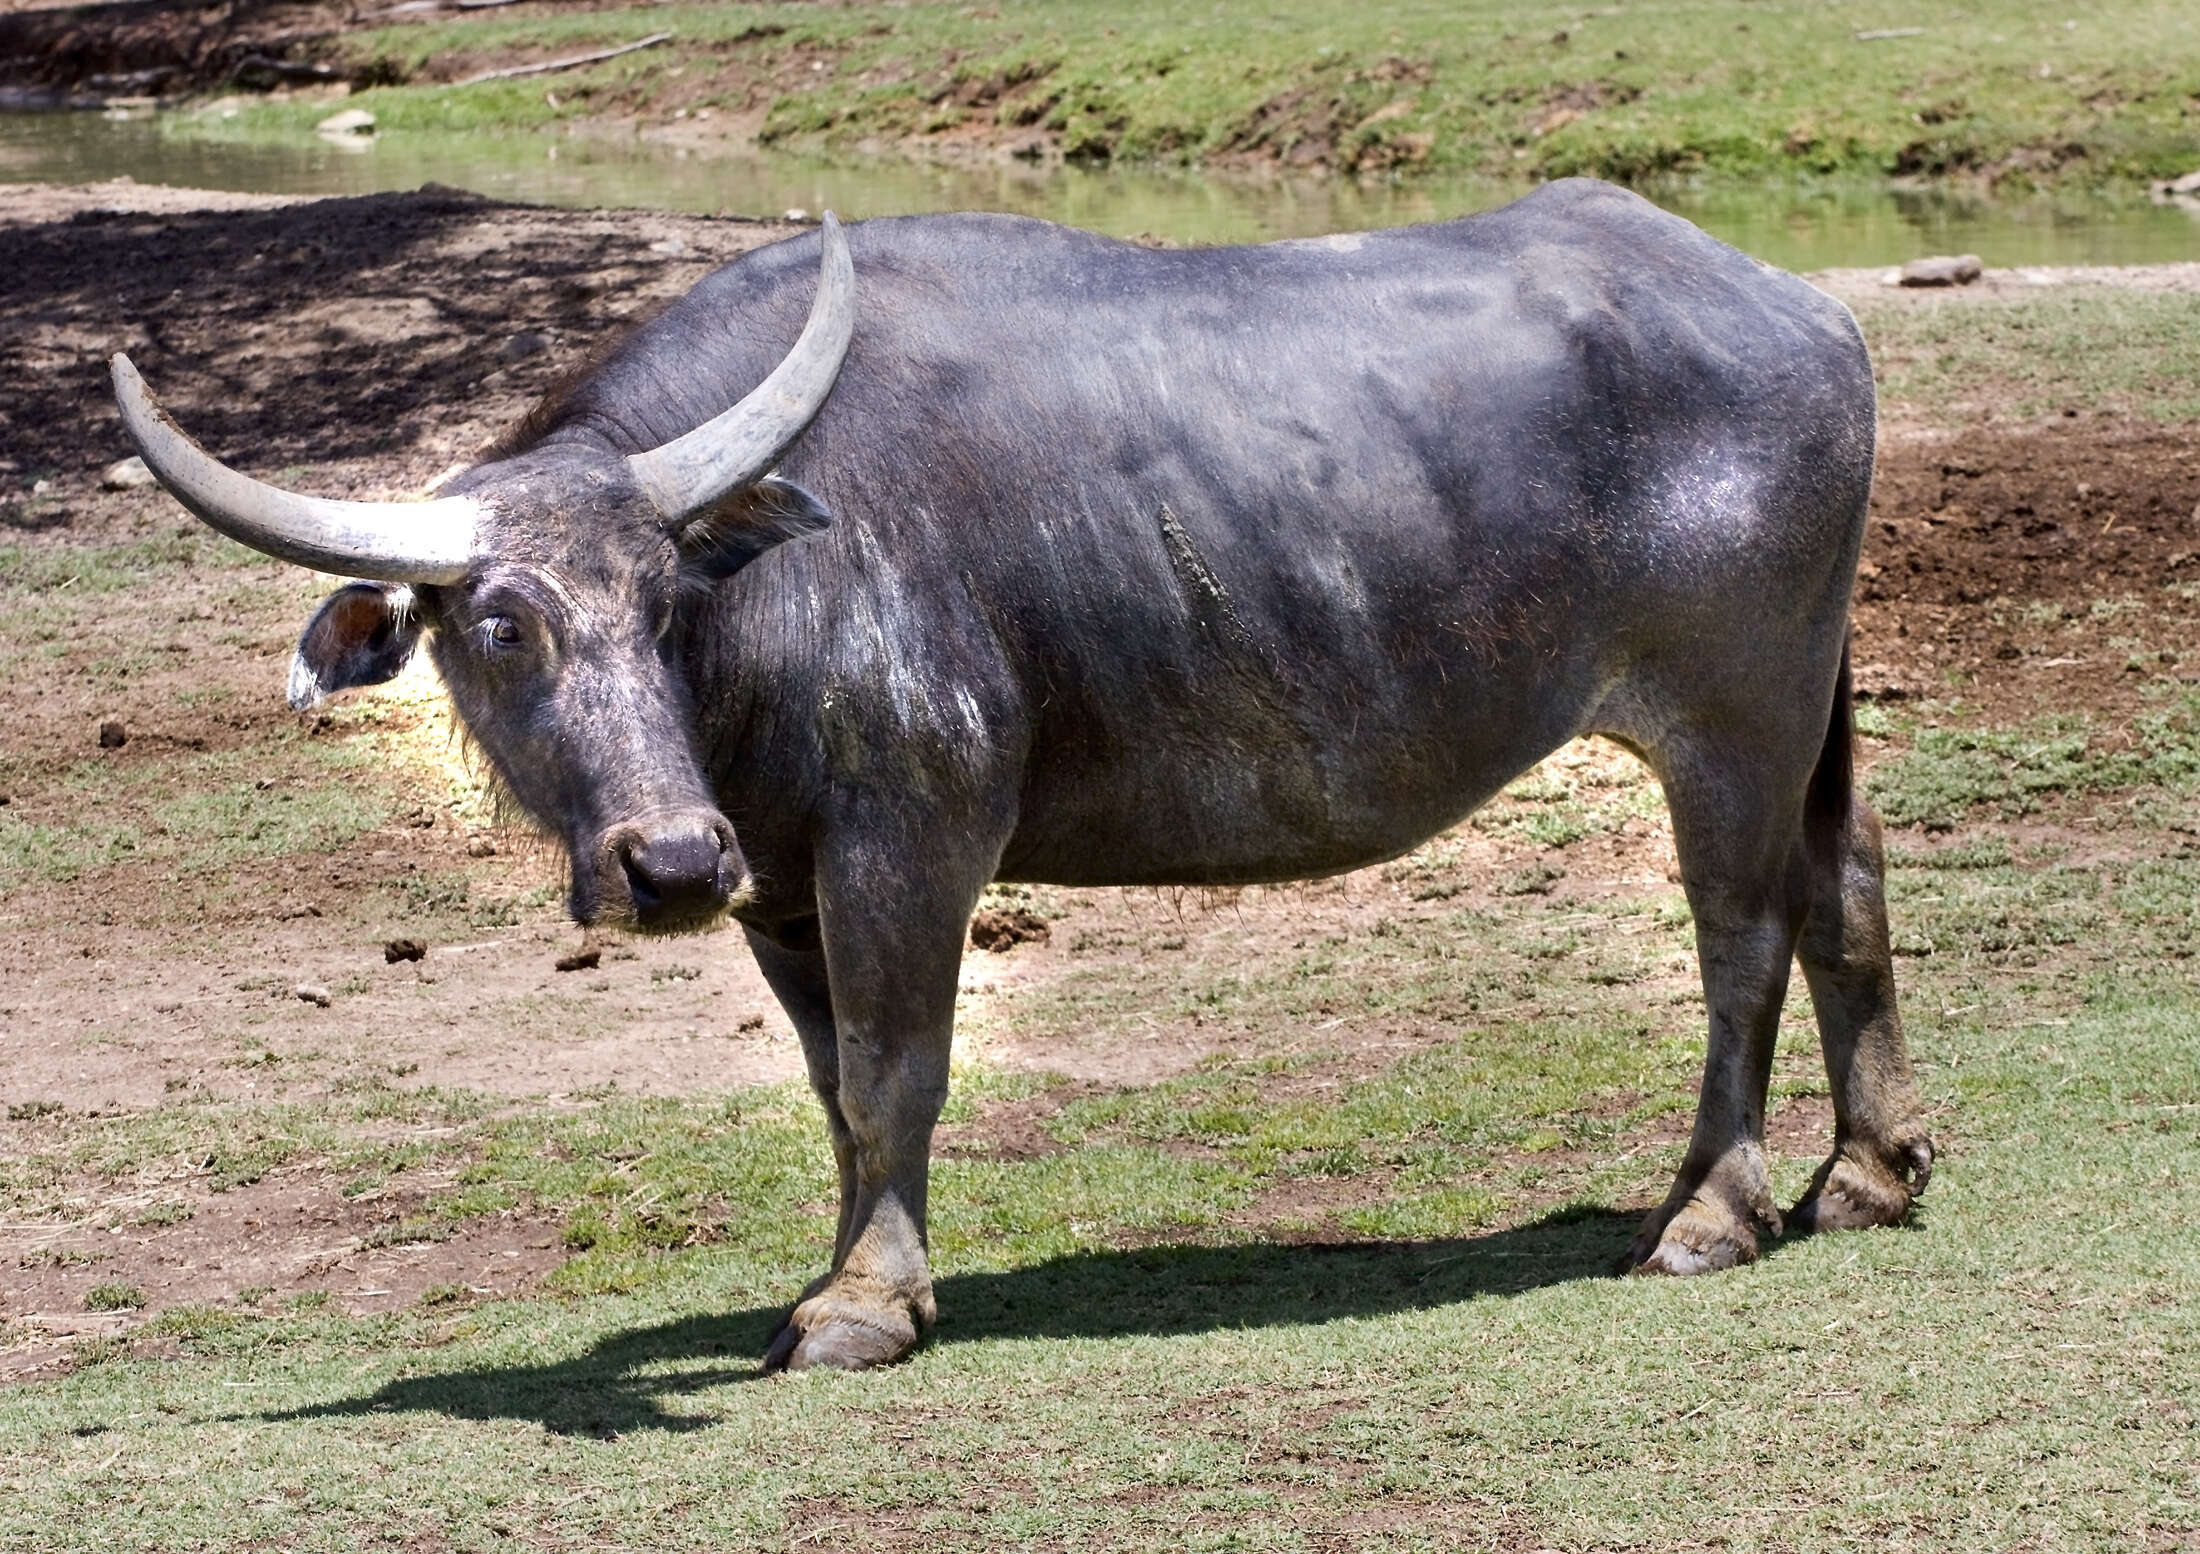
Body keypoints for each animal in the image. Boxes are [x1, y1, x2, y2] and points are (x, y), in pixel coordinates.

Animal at [116, 178, 1927, 1364]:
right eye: (498, 623)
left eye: (663, 595)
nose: (668, 863)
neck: (773, 605)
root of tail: (1807, 313)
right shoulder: (783, 883)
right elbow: (832, 1088)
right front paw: (860, 1264)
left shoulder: (910, 836)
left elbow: (894, 1070)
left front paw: (863, 1302)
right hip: (1812, 713)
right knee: (1849, 890)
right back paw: (1868, 1170)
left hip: (1733, 725)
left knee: (1743, 939)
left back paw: (1707, 1210)